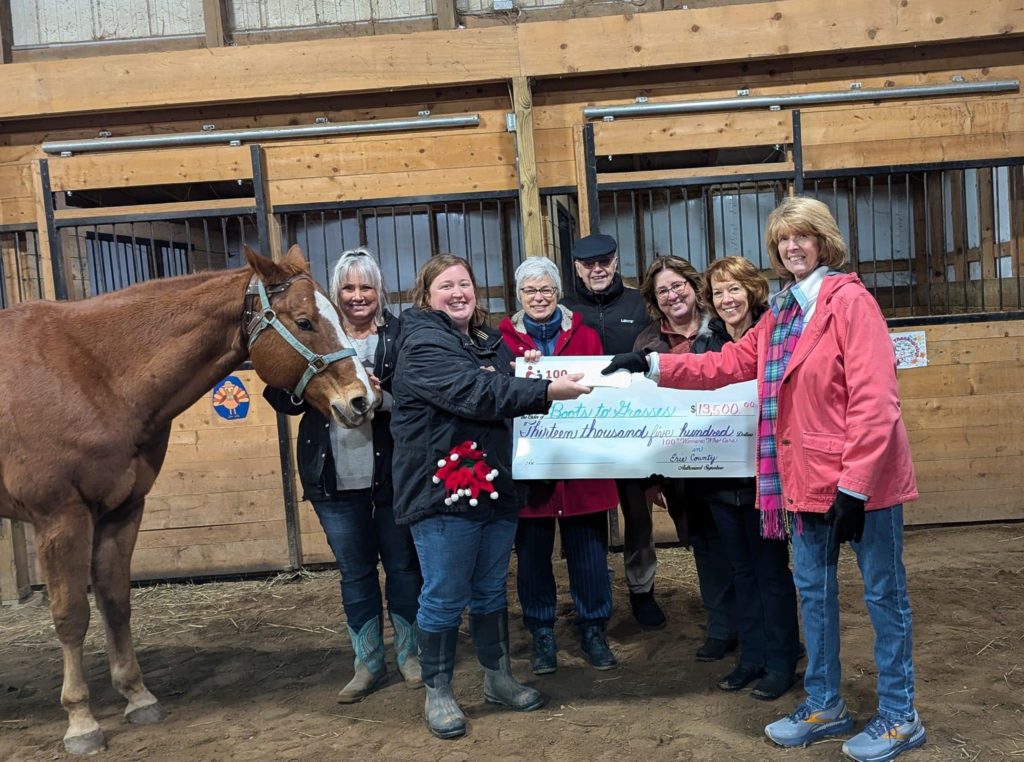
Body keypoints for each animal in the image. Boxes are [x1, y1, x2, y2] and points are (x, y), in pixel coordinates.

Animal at [0, 242, 376, 749]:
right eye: (304, 322)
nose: (363, 400)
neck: (90, 372)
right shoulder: (59, 517)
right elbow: (71, 614)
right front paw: (81, 721)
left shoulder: (123, 510)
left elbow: (116, 603)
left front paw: (137, 697)